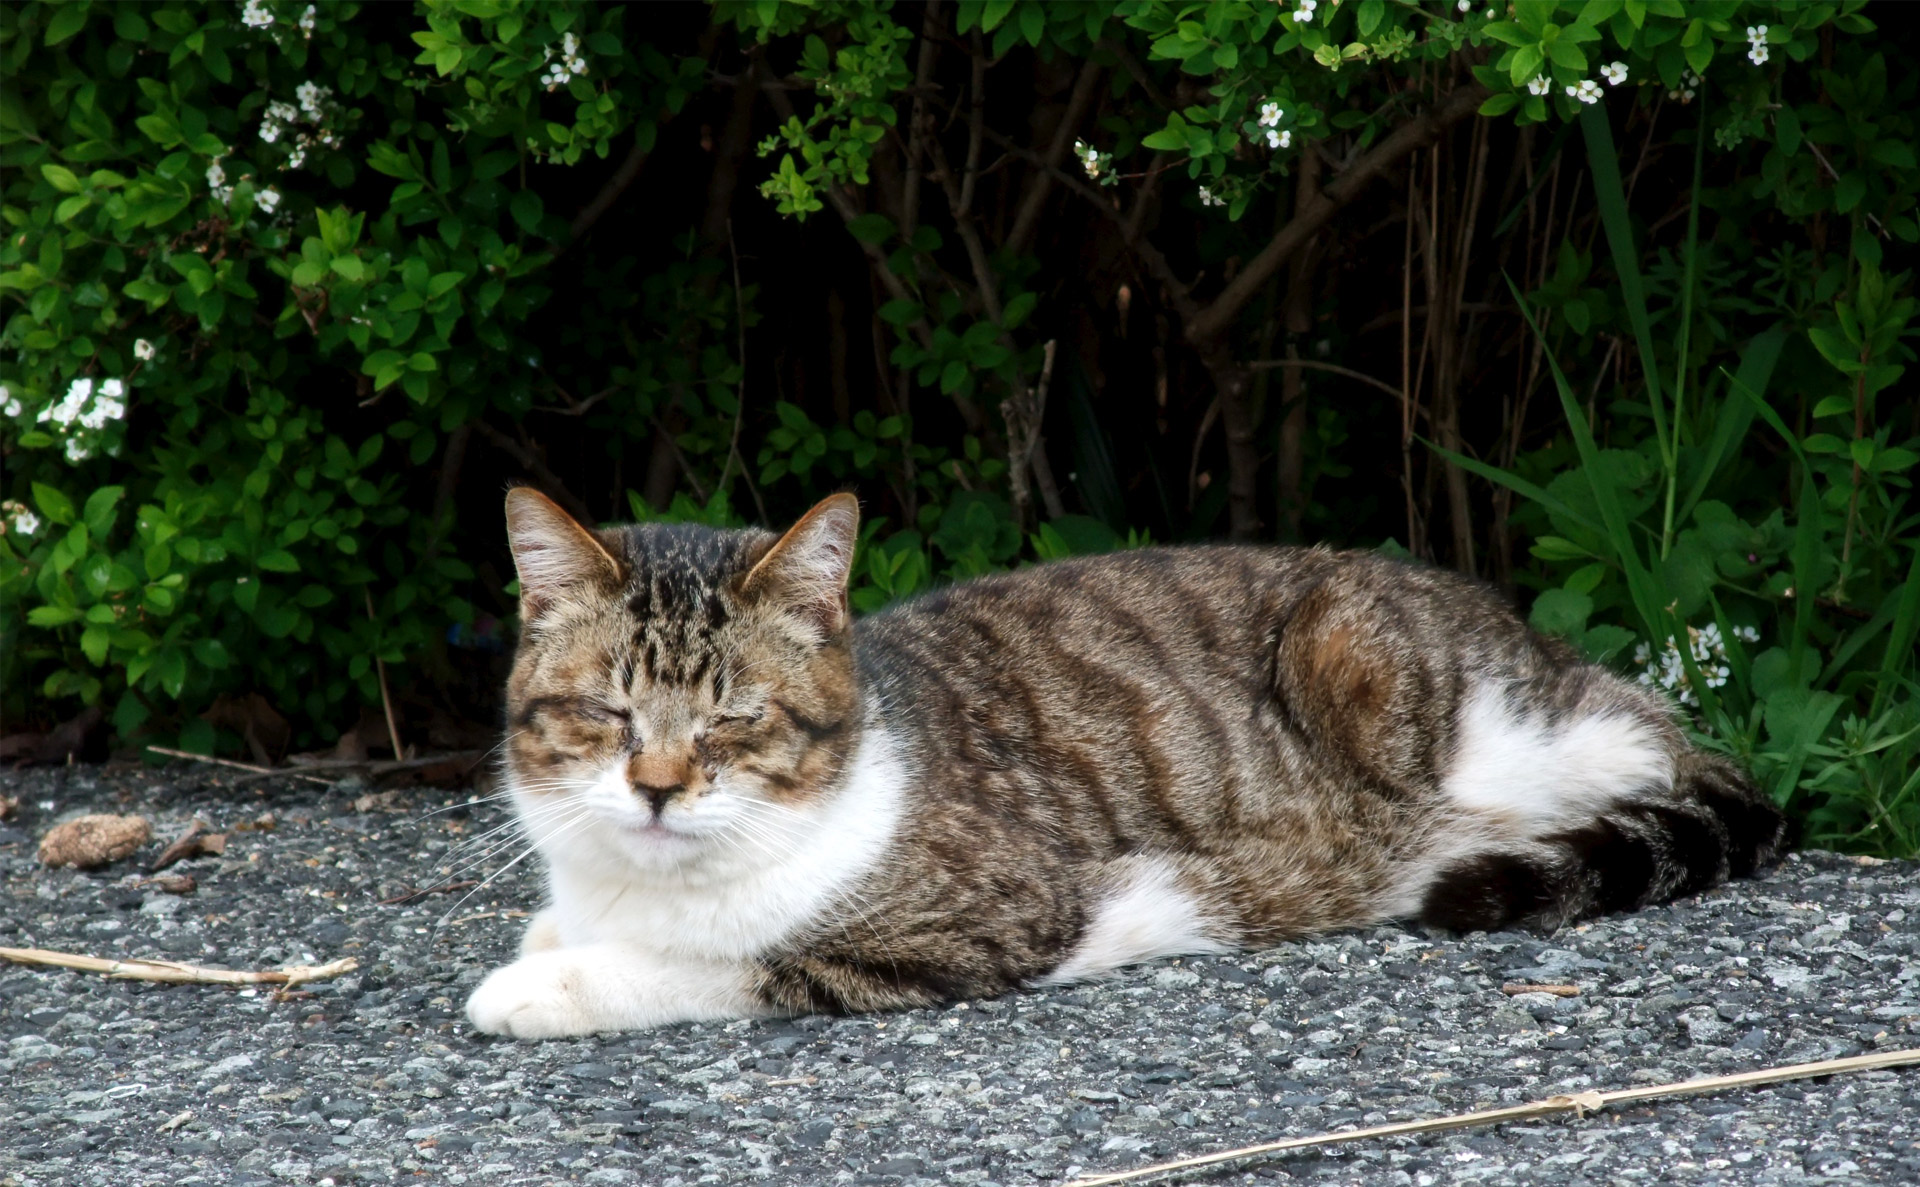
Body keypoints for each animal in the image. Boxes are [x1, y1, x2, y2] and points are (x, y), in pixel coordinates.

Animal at [464, 485, 1781, 1029]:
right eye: (609, 714)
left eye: (732, 718)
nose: (656, 786)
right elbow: (564, 919)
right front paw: (553, 936)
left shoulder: (973, 923)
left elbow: (724, 963)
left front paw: (545, 985)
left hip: (1408, 681)